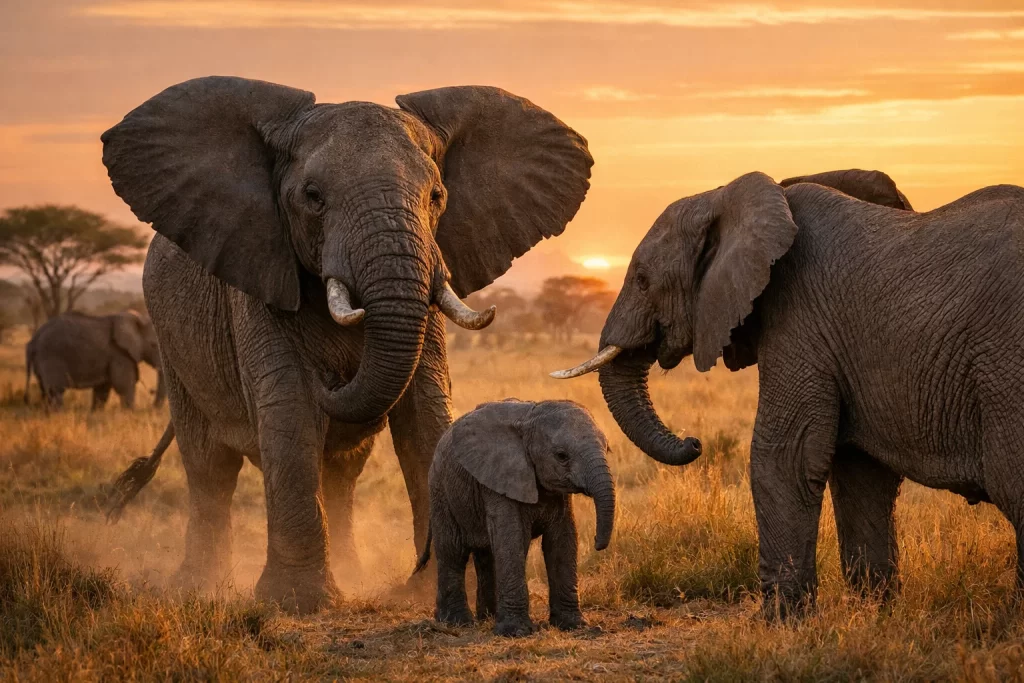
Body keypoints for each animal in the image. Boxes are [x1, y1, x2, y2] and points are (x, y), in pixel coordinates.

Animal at [25, 310, 165, 410]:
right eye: (153, 345)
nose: (151, 391)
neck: (138, 318)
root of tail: (33, 340)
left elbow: (102, 390)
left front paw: (96, 413)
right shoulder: (118, 354)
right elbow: (124, 385)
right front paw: (129, 413)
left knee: (45, 391)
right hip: (51, 356)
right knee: (55, 391)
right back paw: (58, 415)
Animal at [100, 76, 592, 613]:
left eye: (437, 195)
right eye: (313, 196)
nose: (333, 375)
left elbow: (425, 415)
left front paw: (434, 593)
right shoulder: (260, 277)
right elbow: (290, 408)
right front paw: (298, 602)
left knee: (341, 470)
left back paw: (351, 572)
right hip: (172, 341)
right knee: (210, 466)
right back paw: (200, 586)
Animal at [412, 399, 615, 636]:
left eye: (607, 448)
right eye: (561, 455)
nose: (597, 543)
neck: (528, 420)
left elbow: (562, 540)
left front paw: (573, 625)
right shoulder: (499, 478)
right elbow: (513, 538)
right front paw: (516, 631)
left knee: (486, 555)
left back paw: (488, 617)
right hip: (441, 491)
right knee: (453, 551)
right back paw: (456, 622)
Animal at [554, 168, 1024, 616]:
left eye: (642, 280)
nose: (694, 442)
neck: (730, 195)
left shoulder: (800, 318)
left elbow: (785, 457)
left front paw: (780, 624)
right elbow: (860, 473)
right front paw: (874, 615)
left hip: (1005, 365)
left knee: (1011, 482)